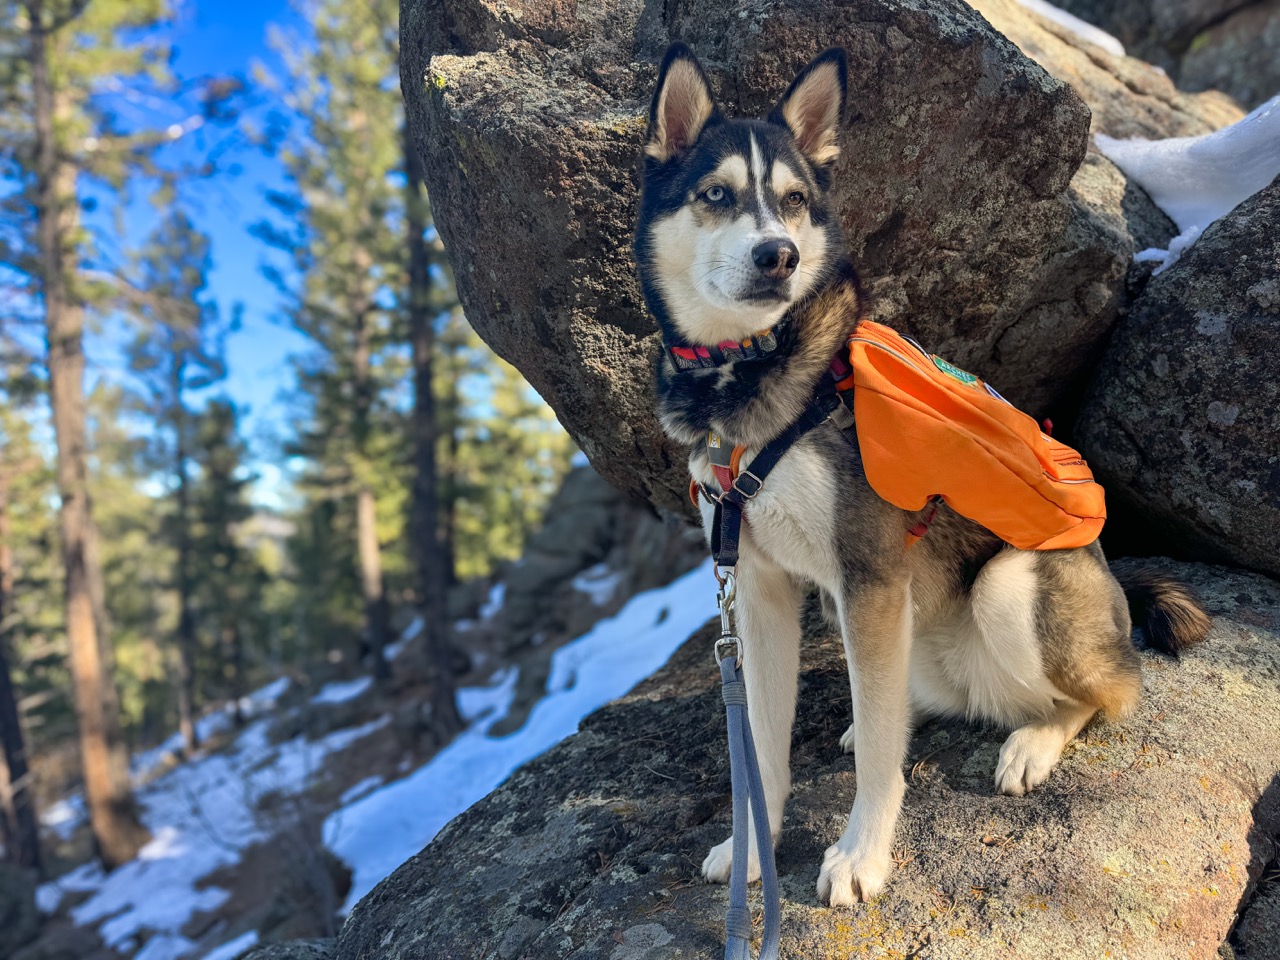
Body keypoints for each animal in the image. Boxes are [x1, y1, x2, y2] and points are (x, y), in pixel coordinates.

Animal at [634, 39, 1213, 911]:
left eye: (794, 201)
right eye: (715, 195)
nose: (780, 256)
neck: (752, 367)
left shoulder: (868, 575)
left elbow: (882, 758)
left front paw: (861, 855)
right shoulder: (761, 588)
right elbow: (762, 745)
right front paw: (751, 845)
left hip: (1009, 588)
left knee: (1110, 692)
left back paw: (1033, 741)